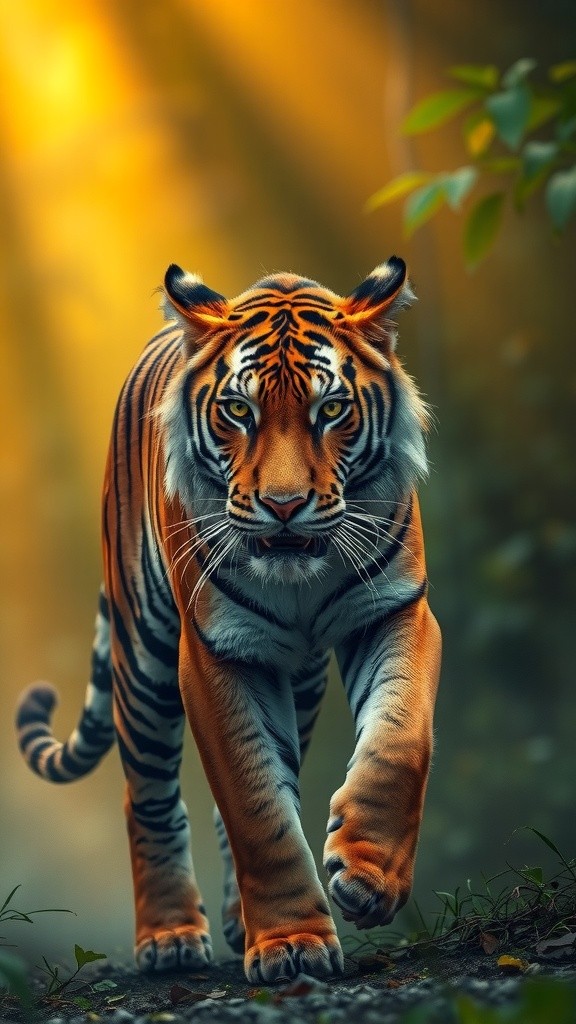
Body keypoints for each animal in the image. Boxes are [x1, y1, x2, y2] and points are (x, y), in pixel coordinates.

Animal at [16, 256, 441, 983]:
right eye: (238, 411)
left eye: (332, 410)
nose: (284, 505)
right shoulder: (216, 654)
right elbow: (254, 806)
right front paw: (293, 944)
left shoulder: (394, 609)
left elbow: (398, 740)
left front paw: (366, 878)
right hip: (144, 658)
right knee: (148, 798)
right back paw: (169, 938)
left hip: (299, 683)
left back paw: (242, 921)